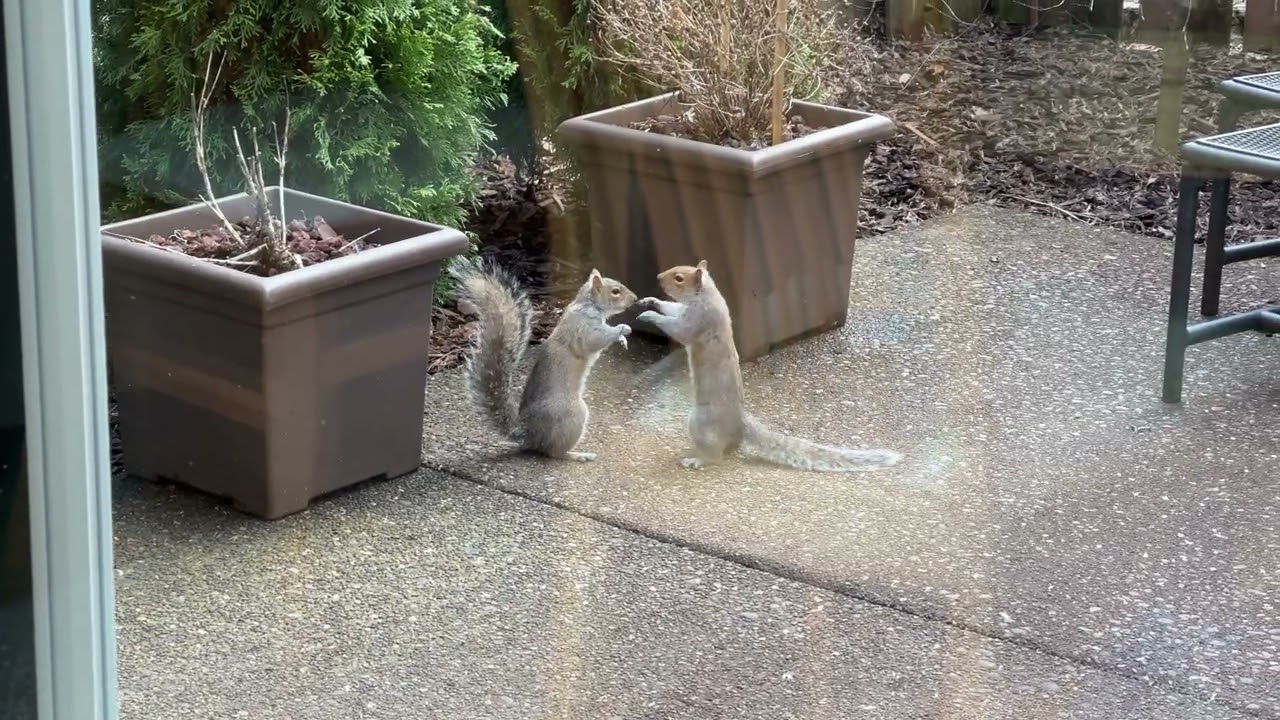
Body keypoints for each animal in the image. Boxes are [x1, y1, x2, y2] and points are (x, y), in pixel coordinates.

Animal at [449, 258, 639, 462]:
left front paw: (622, 339)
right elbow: (594, 340)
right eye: (615, 291)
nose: (635, 299)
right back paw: (578, 455)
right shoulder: (582, 328)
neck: (589, 304)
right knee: (553, 452)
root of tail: (529, 434)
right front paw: (622, 329)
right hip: (574, 414)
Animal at [635, 260, 902, 472]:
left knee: (716, 455)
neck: (706, 295)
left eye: (679, 278)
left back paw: (698, 460)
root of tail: (739, 424)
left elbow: (679, 330)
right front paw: (652, 302)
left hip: (700, 421)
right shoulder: (686, 310)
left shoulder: (699, 320)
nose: (657, 278)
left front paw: (650, 316)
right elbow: (672, 308)